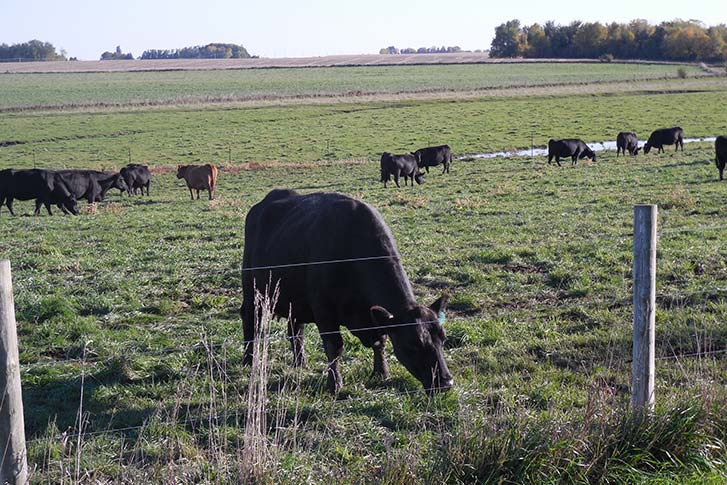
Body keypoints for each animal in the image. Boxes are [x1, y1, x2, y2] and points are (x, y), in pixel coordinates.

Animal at [242, 189, 452, 394]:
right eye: (413, 344)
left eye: (443, 339)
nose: (445, 382)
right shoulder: (324, 310)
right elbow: (334, 346)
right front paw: (334, 384)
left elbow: (381, 341)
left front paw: (381, 372)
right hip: (252, 288)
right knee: (250, 318)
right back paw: (248, 359)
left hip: (295, 299)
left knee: (295, 329)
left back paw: (301, 363)